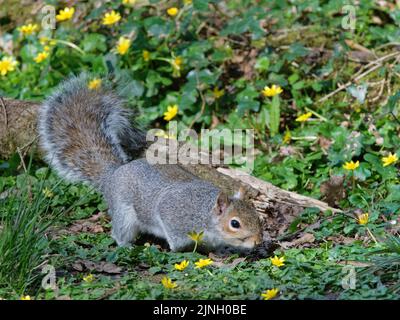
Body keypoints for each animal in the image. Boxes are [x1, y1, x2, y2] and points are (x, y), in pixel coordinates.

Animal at [39, 75, 264, 252]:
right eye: (235, 223)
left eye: (256, 215)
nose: (258, 241)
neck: (205, 213)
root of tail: (114, 173)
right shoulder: (173, 216)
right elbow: (175, 238)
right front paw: (179, 250)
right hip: (124, 213)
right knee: (120, 232)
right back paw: (127, 245)